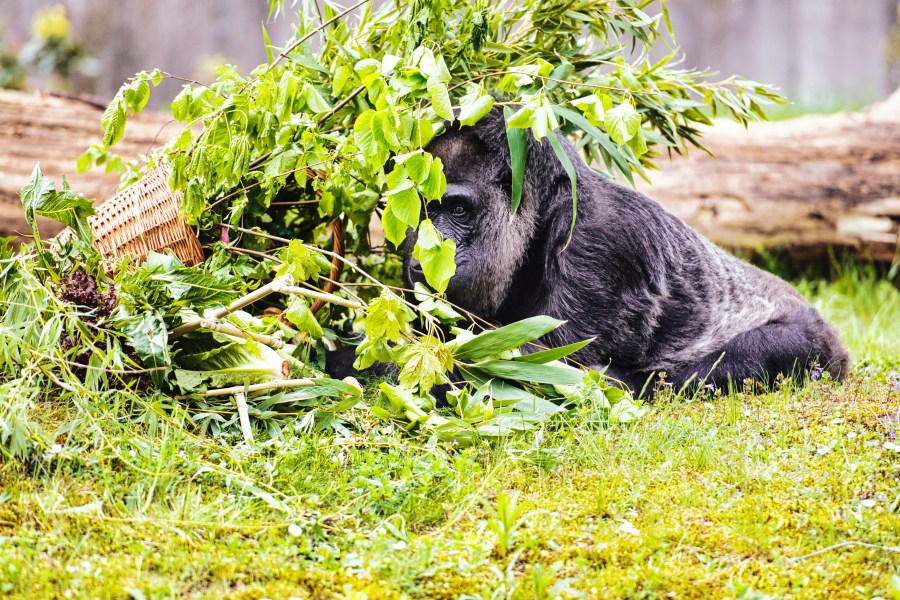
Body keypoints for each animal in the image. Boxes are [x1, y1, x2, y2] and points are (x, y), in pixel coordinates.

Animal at [404, 108, 848, 394]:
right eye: (421, 210)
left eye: (457, 210)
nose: (426, 256)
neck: (547, 209)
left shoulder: (604, 242)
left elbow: (536, 364)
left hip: (820, 343)